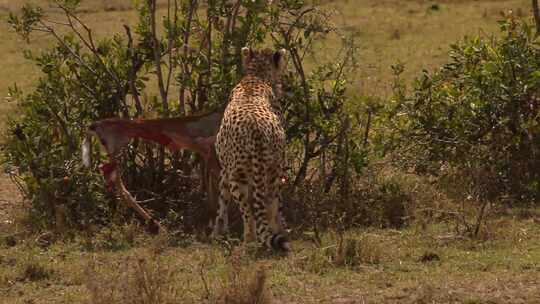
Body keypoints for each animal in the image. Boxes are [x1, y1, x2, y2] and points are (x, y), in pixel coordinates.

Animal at [211, 47, 288, 252]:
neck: (256, 76)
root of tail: (256, 129)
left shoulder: (225, 170)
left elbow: (221, 201)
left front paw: (217, 233)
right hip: (272, 171)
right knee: (269, 204)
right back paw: (272, 234)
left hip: (242, 176)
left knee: (251, 210)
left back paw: (250, 239)